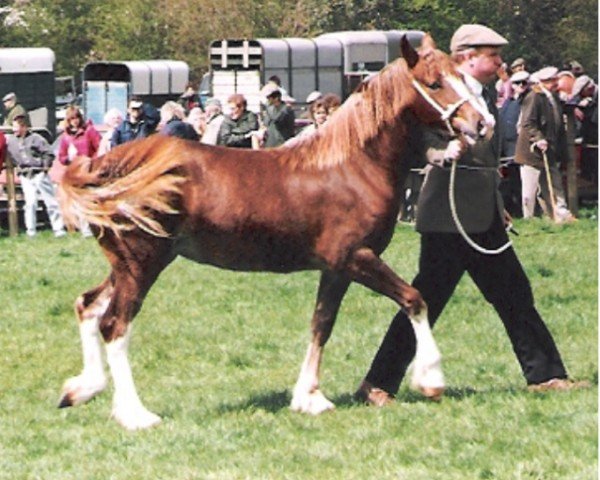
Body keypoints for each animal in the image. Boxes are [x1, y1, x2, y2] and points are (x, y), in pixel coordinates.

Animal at [57, 35, 488, 430]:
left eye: (462, 77)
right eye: (434, 82)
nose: (481, 124)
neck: (354, 165)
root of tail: (107, 166)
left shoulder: (336, 268)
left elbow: (321, 323)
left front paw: (309, 397)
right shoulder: (356, 257)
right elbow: (415, 300)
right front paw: (431, 379)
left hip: (126, 265)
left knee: (88, 306)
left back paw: (81, 389)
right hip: (143, 263)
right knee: (115, 324)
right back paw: (135, 414)